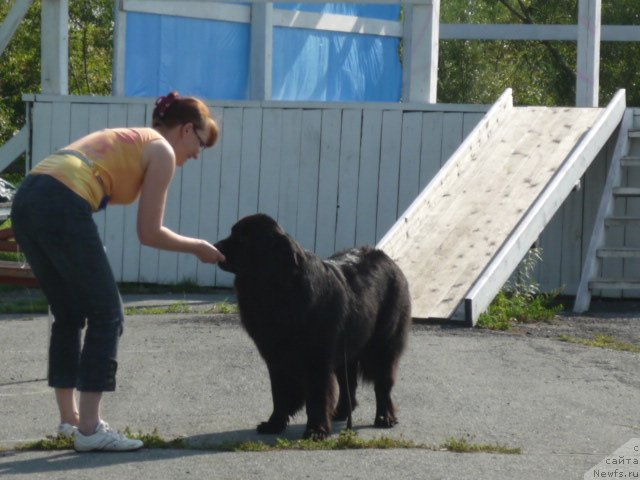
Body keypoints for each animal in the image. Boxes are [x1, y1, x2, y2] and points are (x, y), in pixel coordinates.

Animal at [215, 214, 410, 438]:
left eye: (243, 238)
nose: (216, 246)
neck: (275, 289)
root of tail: (389, 261)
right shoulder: (276, 358)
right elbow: (279, 394)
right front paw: (274, 424)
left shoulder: (317, 359)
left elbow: (317, 396)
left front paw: (316, 430)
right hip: (348, 350)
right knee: (349, 385)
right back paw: (340, 413)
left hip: (382, 345)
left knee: (383, 383)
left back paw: (385, 417)